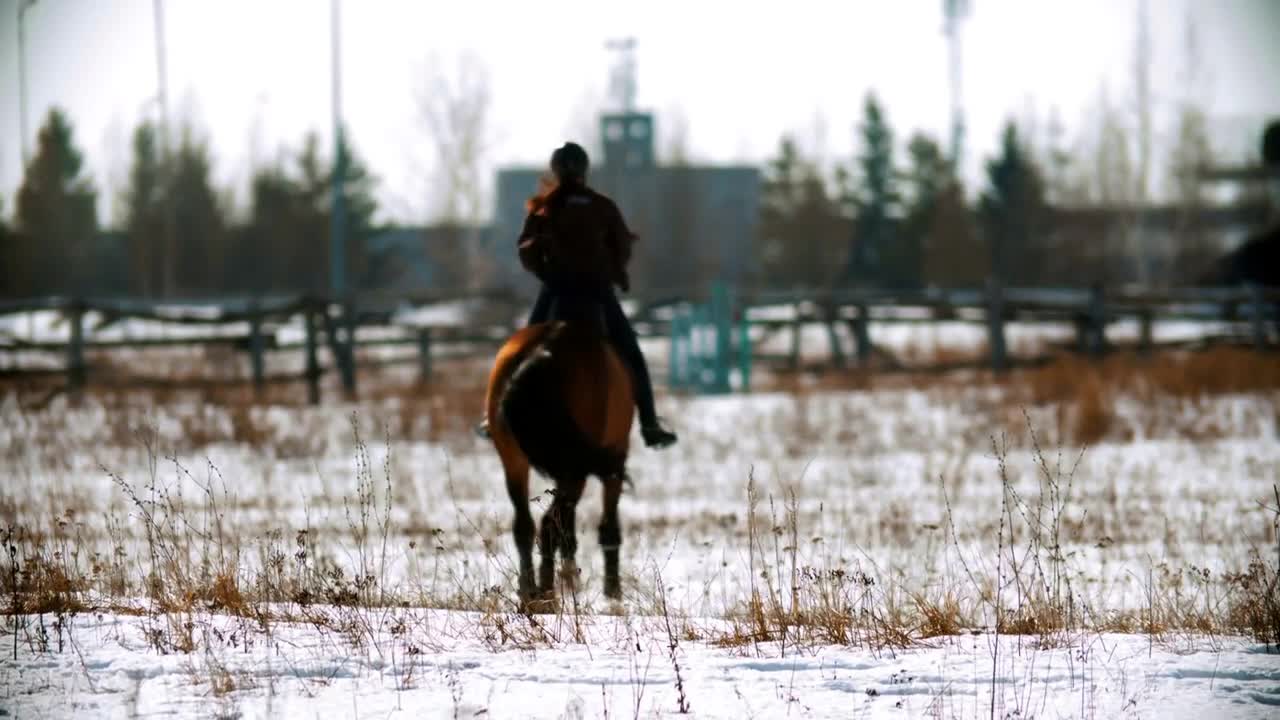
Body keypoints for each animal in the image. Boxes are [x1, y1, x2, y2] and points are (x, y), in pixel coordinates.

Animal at [483, 297, 634, 604]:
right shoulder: (614, 459)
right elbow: (608, 527)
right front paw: (612, 591)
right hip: (577, 469)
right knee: (549, 524)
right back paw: (546, 590)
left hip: (515, 460)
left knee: (526, 525)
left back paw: (531, 591)